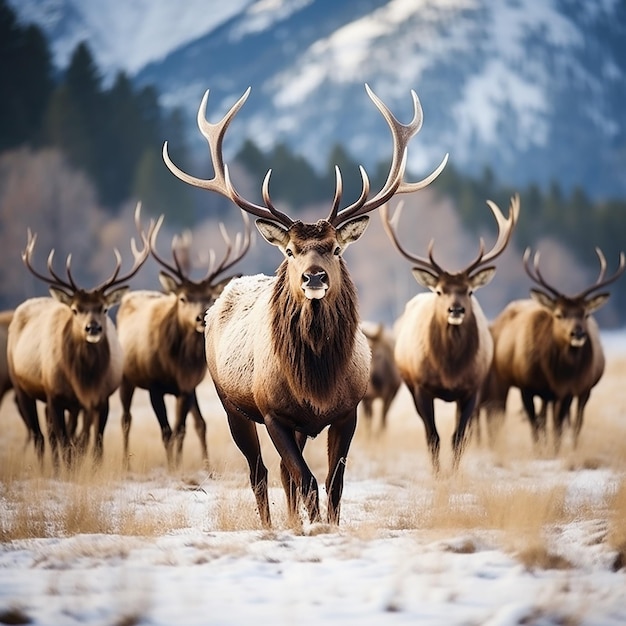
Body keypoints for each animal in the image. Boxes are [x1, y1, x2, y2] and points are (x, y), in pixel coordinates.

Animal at [8, 205, 151, 464]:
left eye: (104, 308)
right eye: (75, 309)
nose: (92, 328)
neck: (84, 378)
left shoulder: (100, 398)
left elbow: (93, 444)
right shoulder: (54, 395)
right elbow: (64, 442)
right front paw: (63, 468)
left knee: (62, 436)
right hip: (21, 386)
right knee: (41, 437)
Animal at [116, 212, 252, 466]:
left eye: (209, 296)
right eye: (182, 298)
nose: (200, 317)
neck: (176, 363)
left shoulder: (186, 388)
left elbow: (181, 428)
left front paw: (178, 464)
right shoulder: (154, 385)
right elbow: (166, 431)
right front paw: (171, 466)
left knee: (198, 423)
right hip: (125, 378)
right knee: (126, 419)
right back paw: (126, 463)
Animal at [161, 81, 444, 520]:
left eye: (336, 248)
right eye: (291, 251)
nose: (314, 276)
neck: (316, 380)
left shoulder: (348, 411)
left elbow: (333, 483)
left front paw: (325, 523)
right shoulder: (273, 413)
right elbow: (307, 481)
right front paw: (313, 526)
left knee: (281, 473)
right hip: (231, 405)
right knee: (260, 472)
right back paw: (269, 524)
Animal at [382, 194, 520, 468]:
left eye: (469, 291)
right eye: (439, 290)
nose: (456, 309)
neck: (449, 370)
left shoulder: (471, 389)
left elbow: (458, 438)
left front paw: (452, 474)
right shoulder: (422, 387)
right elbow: (433, 437)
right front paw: (437, 475)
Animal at [482, 245, 620, 448]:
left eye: (585, 314)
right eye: (559, 314)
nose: (578, 333)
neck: (555, 373)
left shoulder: (567, 391)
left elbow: (557, 427)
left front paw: (555, 450)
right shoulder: (527, 387)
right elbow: (535, 425)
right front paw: (540, 450)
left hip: (581, 391)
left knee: (574, 421)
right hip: (502, 379)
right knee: (507, 414)